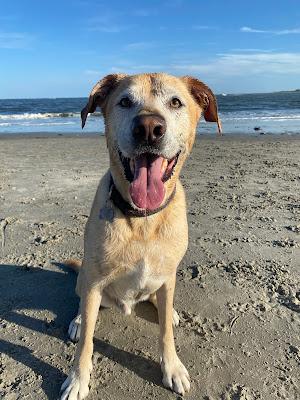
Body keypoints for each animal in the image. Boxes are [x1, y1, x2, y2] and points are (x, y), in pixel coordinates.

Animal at [60, 73, 220, 398]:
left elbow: (165, 333)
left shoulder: (168, 276)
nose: (148, 128)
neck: (144, 219)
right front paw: (78, 378)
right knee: (83, 303)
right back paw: (79, 320)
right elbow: (86, 342)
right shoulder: (94, 280)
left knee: (161, 305)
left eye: (176, 102)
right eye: (124, 101)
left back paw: (168, 311)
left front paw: (172, 367)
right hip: (88, 278)